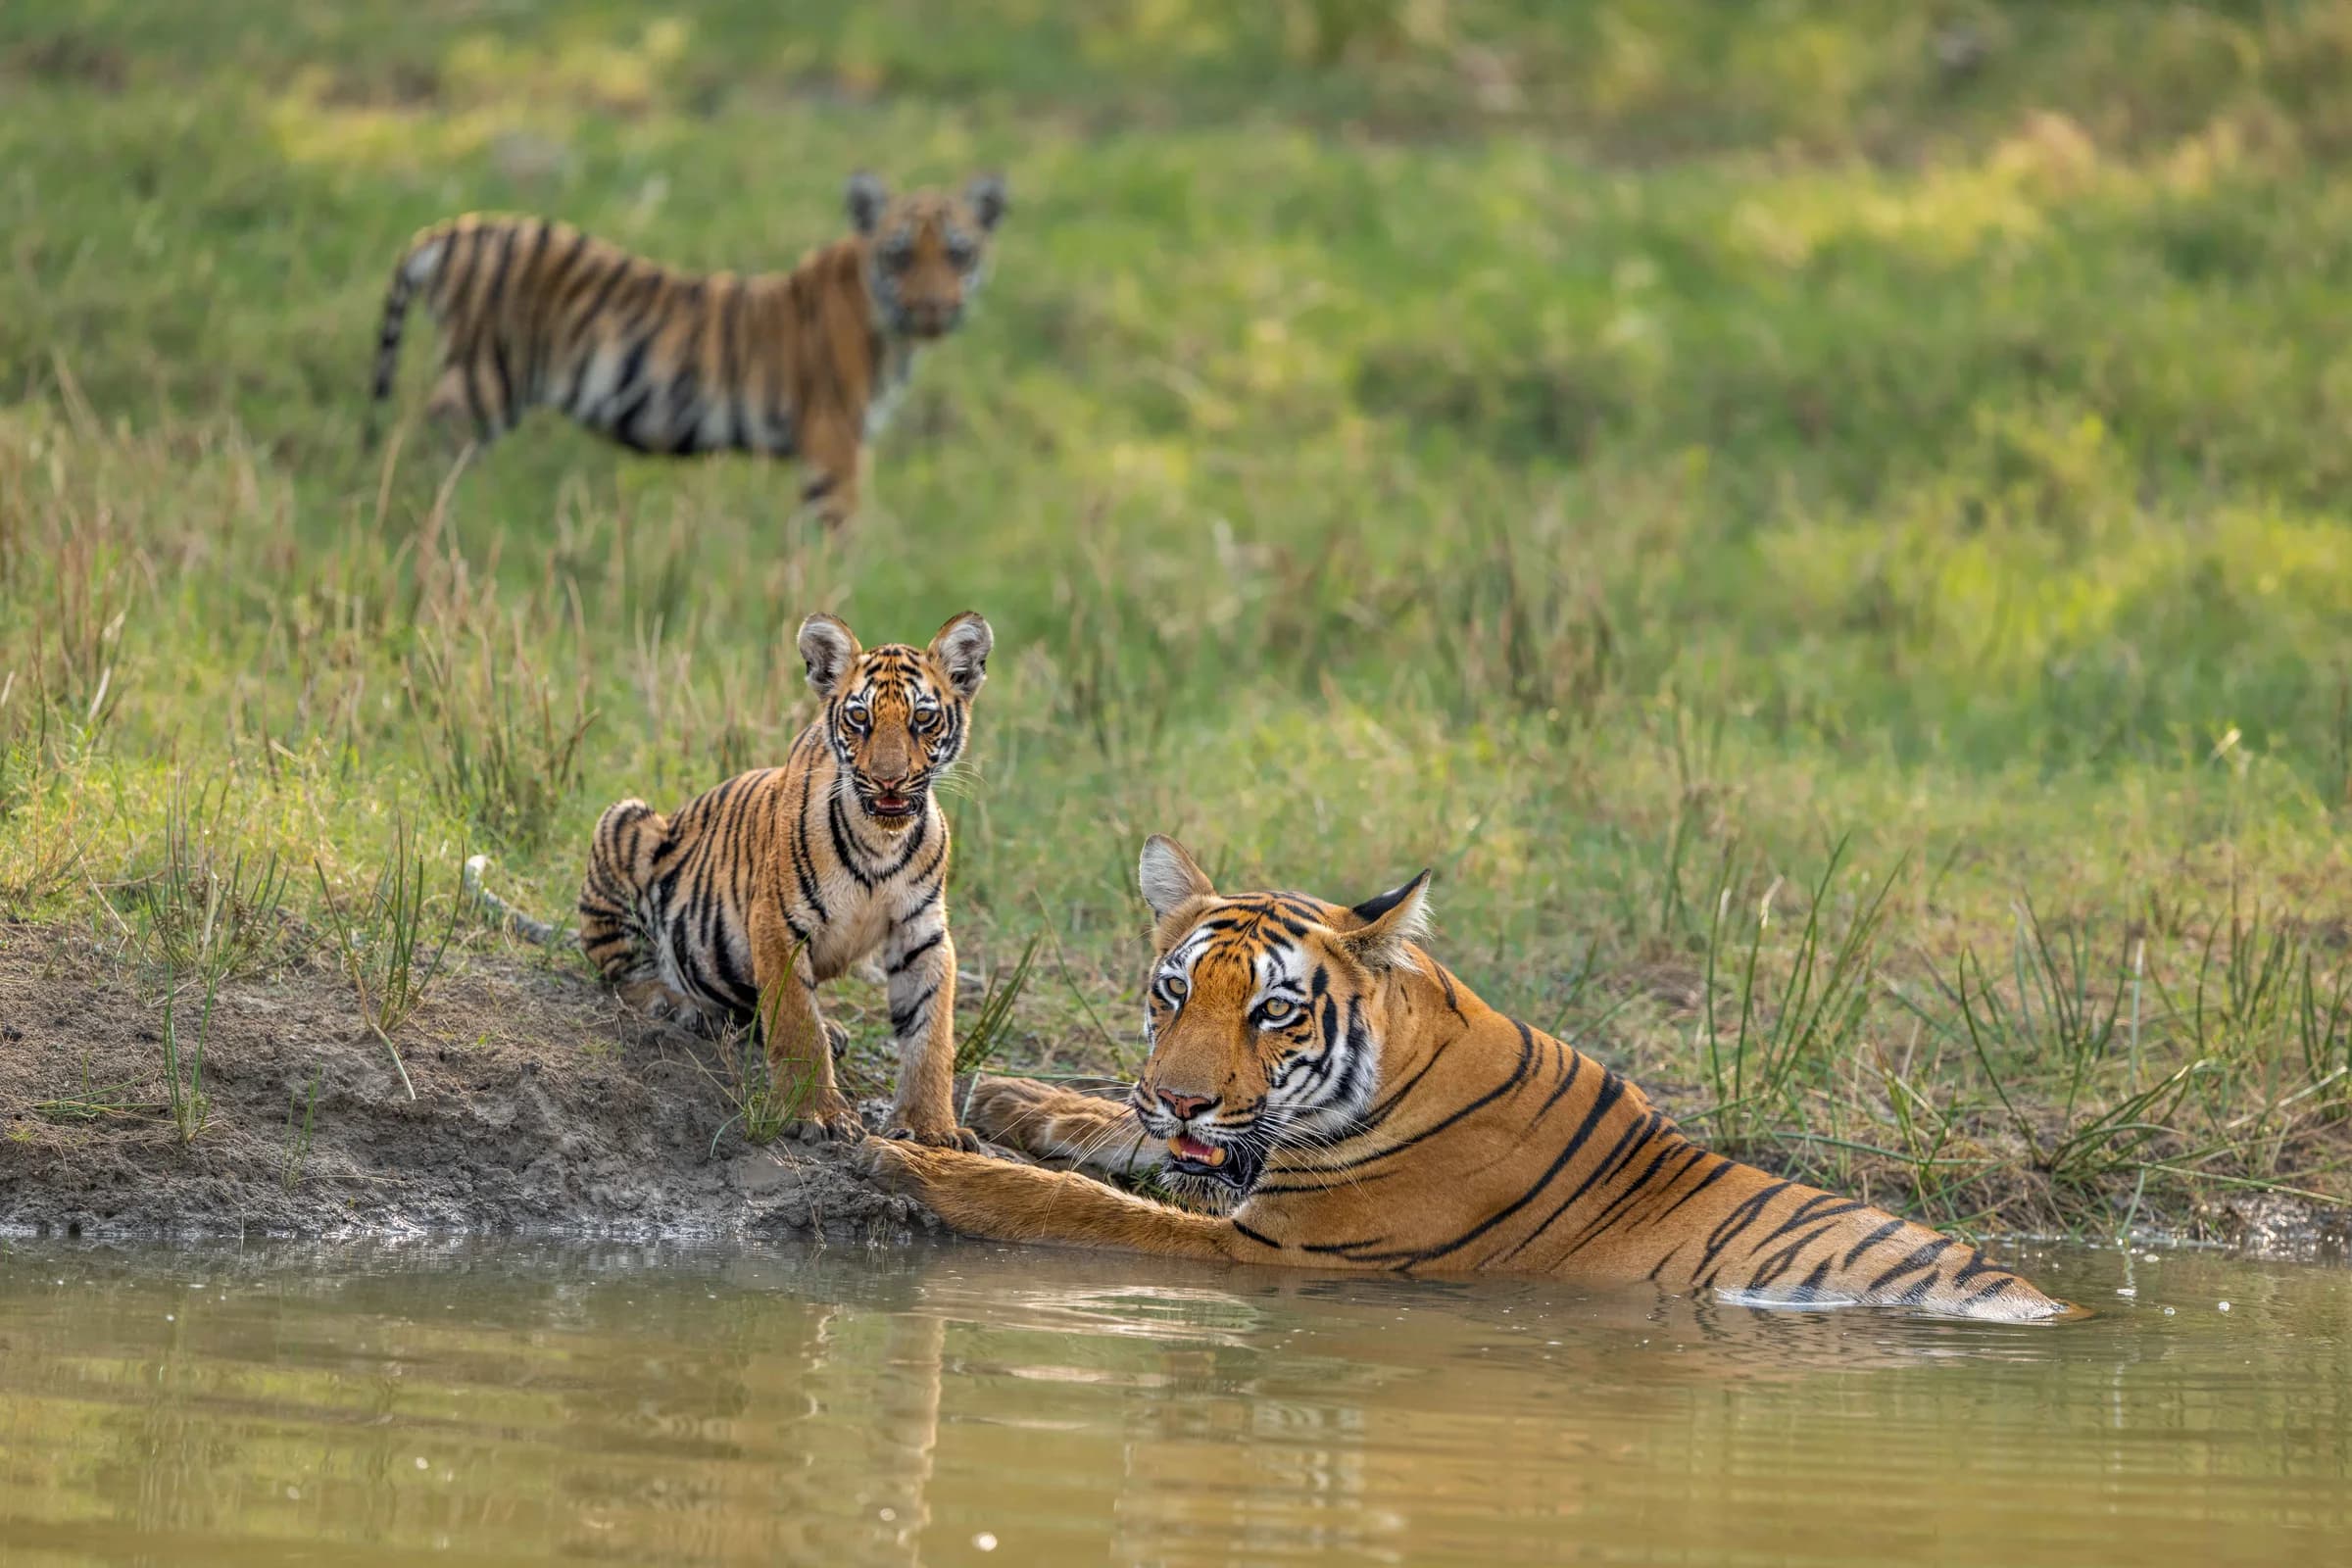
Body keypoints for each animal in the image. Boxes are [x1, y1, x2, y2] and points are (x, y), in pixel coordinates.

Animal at [365, 172, 1008, 526]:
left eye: (958, 254)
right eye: (900, 255)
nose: (933, 308)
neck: (892, 330)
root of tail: (448, 231)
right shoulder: (834, 439)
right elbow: (841, 531)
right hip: (484, 378)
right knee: (422, 441)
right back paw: (424, 512)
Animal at [570, 610, 994, 1146]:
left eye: (923, 718)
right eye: (860, 718)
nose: (889, 780)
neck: (882, 840)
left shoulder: (922, 933)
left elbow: (931, 1035)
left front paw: (931, 1126)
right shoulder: (777, 923)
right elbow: (796, 1024)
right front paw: (817, 1114)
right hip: (626, 820)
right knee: (622, 972)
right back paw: (673, 1003)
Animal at [862, 835, 2079, 1320]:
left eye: (1272, 1010)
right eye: (1173, 993)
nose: (1178, 1095)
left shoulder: (1276, 1251)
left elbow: (1085, 1209)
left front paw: (917, 1162)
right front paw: (1011, 1098)